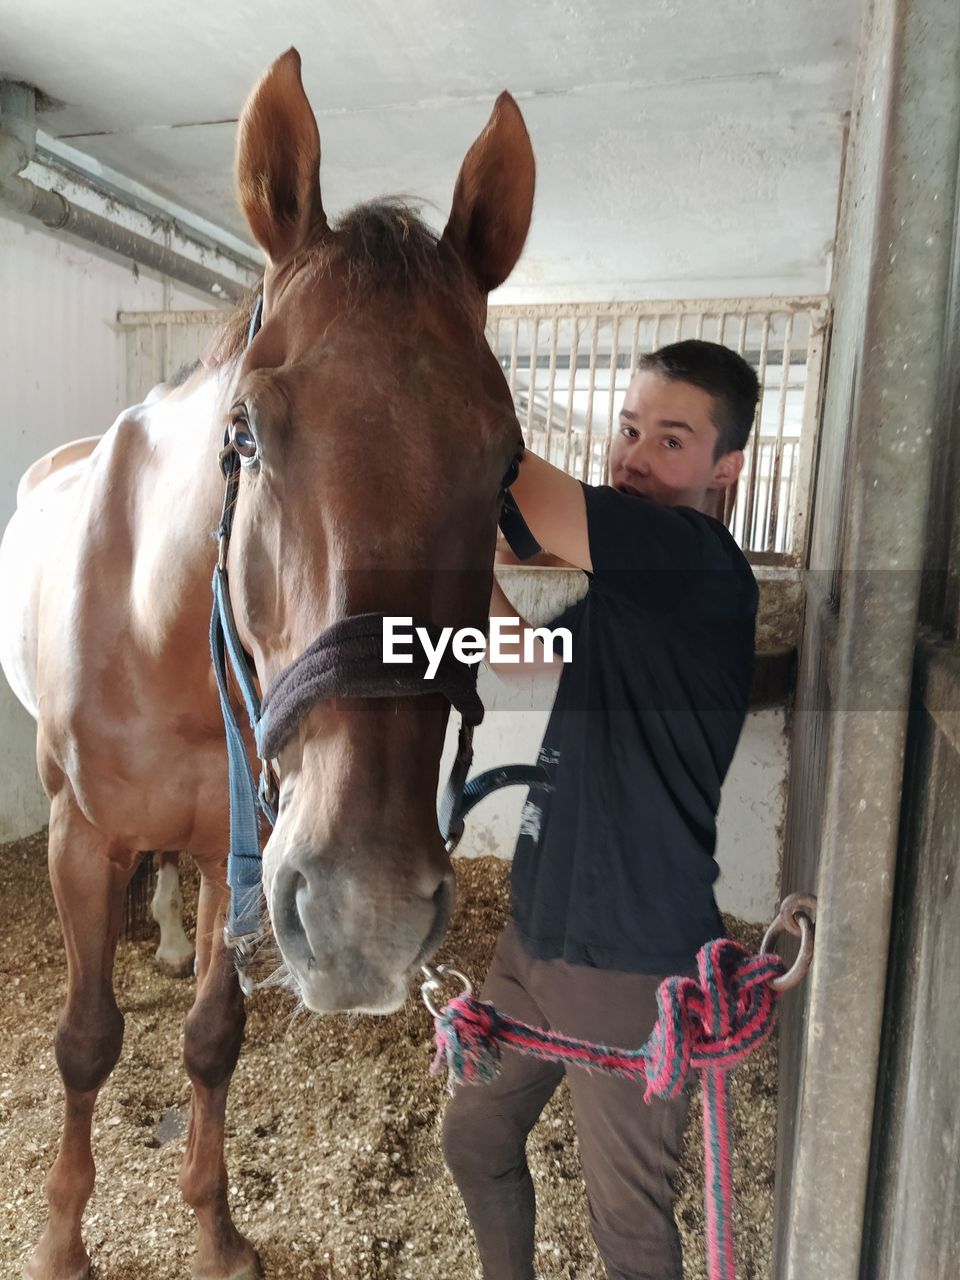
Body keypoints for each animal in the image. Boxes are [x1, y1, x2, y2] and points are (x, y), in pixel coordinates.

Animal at [0, 45, 535, 1274]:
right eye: (244, 432)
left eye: (504, 463)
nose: (364, 916)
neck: (161, 639)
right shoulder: (79, 833)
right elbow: (84, 1040)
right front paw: (60, 1242)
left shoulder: (232, 849)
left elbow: (211, 1038)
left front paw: (214, 1229)